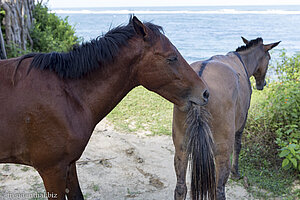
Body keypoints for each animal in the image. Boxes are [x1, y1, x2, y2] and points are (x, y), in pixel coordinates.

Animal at [172, 36, 280, 199]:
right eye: (269, 58)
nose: (262, 84)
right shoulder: (242, 121)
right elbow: (238, 145)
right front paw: (236, 172)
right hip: (223, 149)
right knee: (219, 189)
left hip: (181, 146)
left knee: (180, 187)